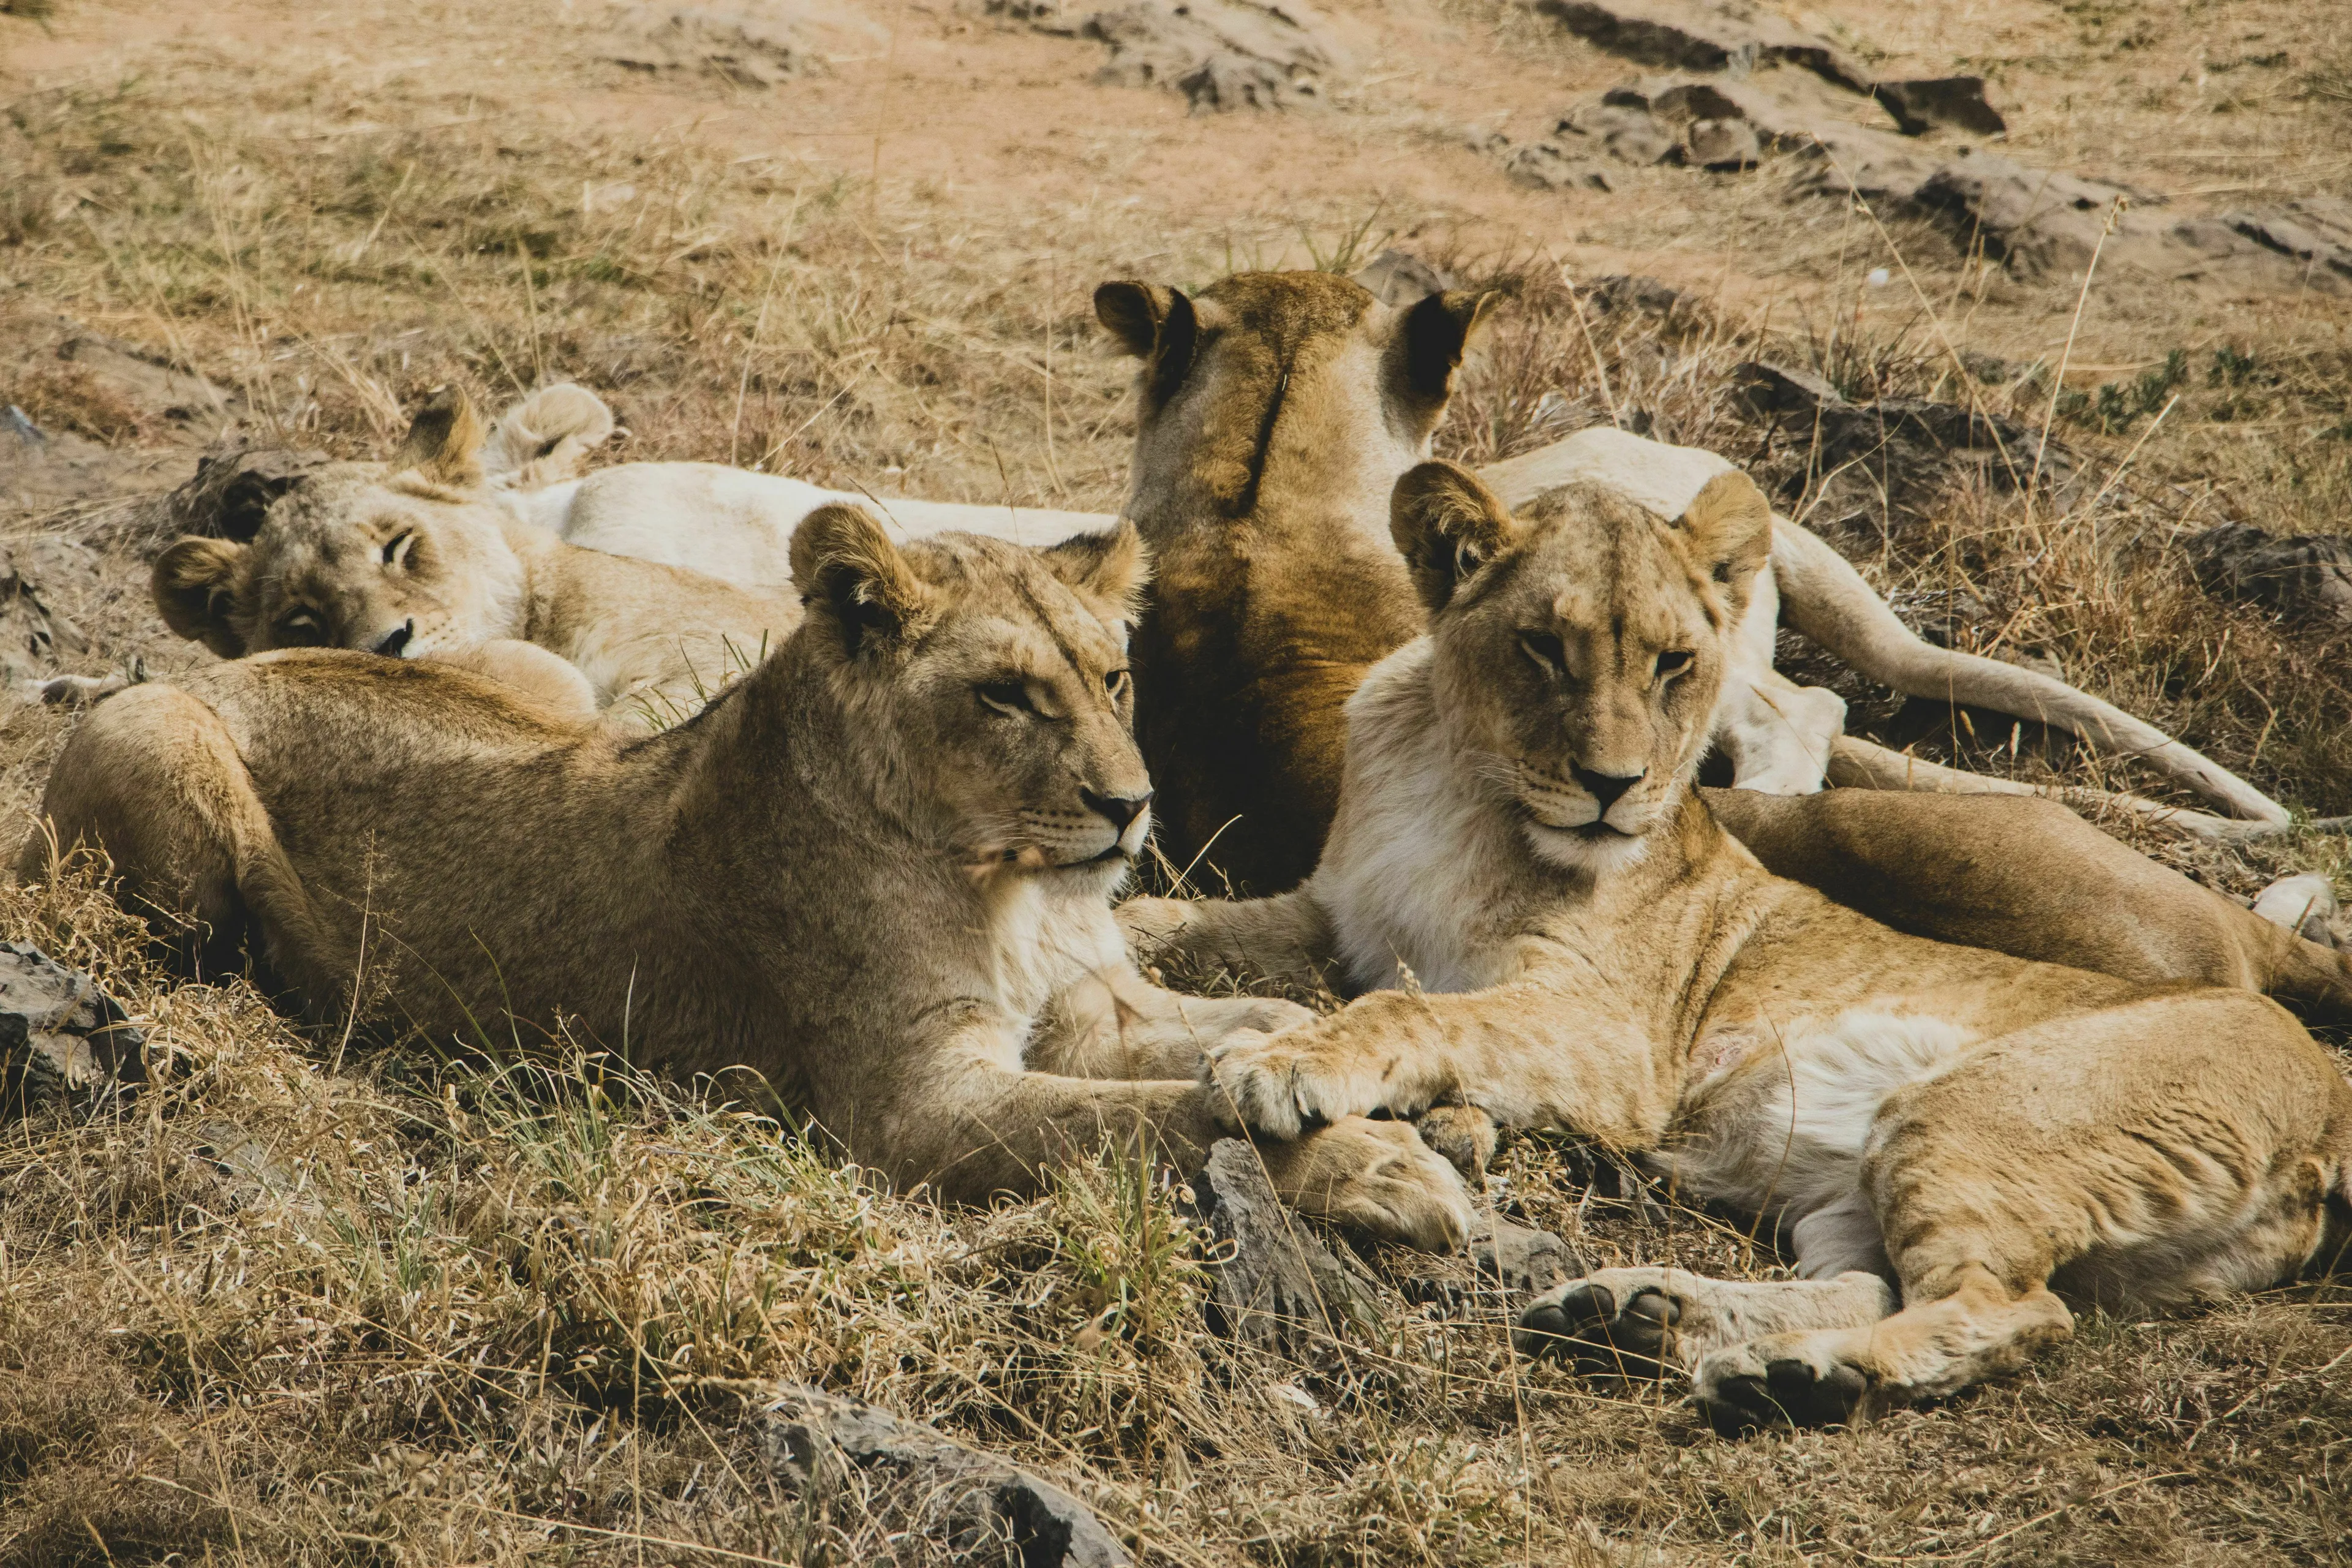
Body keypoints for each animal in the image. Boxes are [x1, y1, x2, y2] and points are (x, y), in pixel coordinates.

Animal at [24, 503, 1474, 1246]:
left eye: (1113, 679)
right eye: (1007, 695)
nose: (1132, 809)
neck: (1012, 886)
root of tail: (219, 660)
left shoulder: (1093, 1012)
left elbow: (1260, 1026)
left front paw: (1394, 1093)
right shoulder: (914, 1107)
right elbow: (1157, 1122)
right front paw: (1386, 1168)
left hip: (533, 676)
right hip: (165, 750)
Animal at [1123, 463, 2352, 1426]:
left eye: (1675, 664)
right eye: (1544, 649)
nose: (1614, 787)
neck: (1456, 778)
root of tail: (2324, 1094)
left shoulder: (1614, 1038)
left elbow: (1409, 1009)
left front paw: (1281, 1064)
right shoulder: (1333, 919)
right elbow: (1178, 928)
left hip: (1976, 1113)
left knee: (2012, 1310)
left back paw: (1792, 1373)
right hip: (1858, 1185)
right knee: (1884, 1285)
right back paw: (1651, 1318)